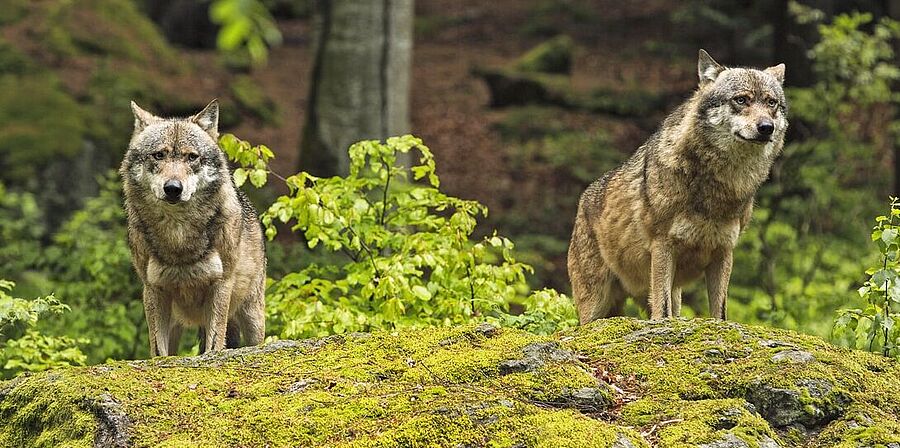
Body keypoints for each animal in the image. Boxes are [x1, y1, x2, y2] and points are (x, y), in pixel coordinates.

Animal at [121, 99, 266, 356]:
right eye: (159, 155)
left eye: (191, 157)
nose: (173, 188)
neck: (178, 235)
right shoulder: (152, 289)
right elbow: (159, 351)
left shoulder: (221, 285)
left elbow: (214, 344)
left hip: (252, 317)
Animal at [568, 50, 787, 323]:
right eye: (741, 100)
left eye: (771, 103)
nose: (766, 127)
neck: (718, 188)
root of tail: (582, 200)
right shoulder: (663, 247)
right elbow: (662, 313)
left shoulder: (724, 252)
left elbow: (719, 313)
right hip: (596, 307)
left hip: (673, 294)